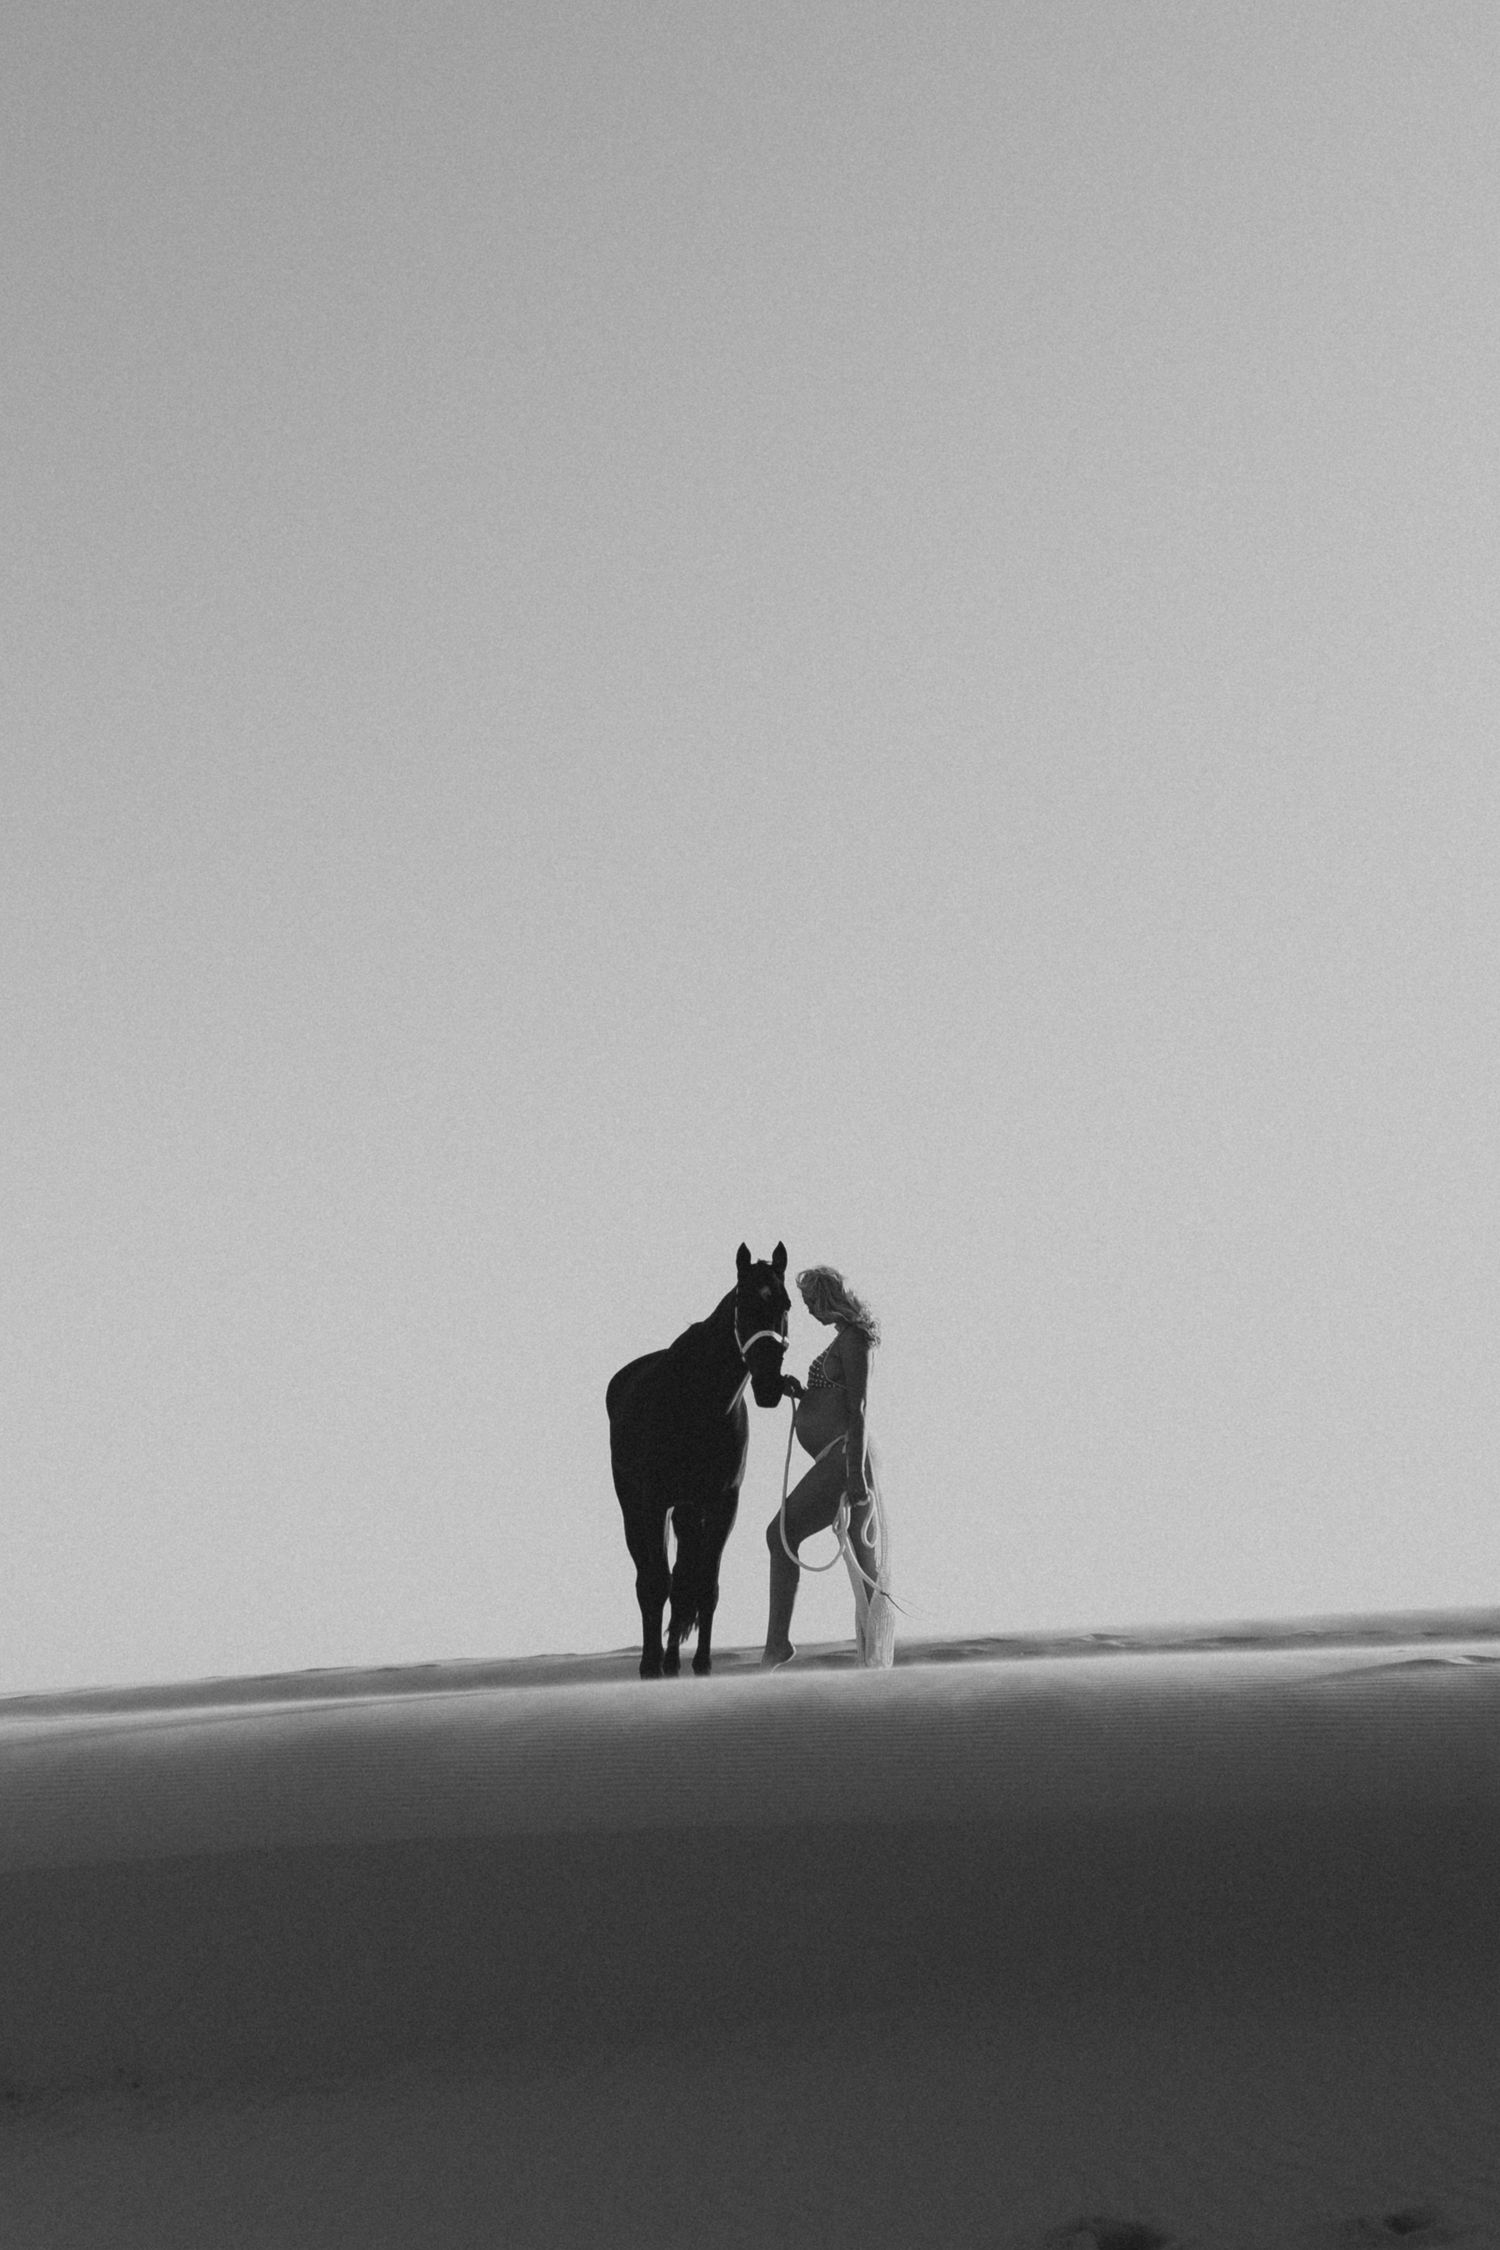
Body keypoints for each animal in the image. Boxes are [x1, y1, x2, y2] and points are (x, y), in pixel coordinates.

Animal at [607, 1243, 795, 1678]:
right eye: (744, 1302)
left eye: (786, 1304)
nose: (769, 1384)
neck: (698, 1402)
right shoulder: (654, 1502)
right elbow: (655, 1583)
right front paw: (649, 1666)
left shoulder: (722, 1502)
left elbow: (704, 1585)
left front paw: (703, 1664)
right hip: (636, 1506)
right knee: (650, 1579)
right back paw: (656, 1661)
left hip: (688, 1511)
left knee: (682, 1582)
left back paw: (673, 1660)